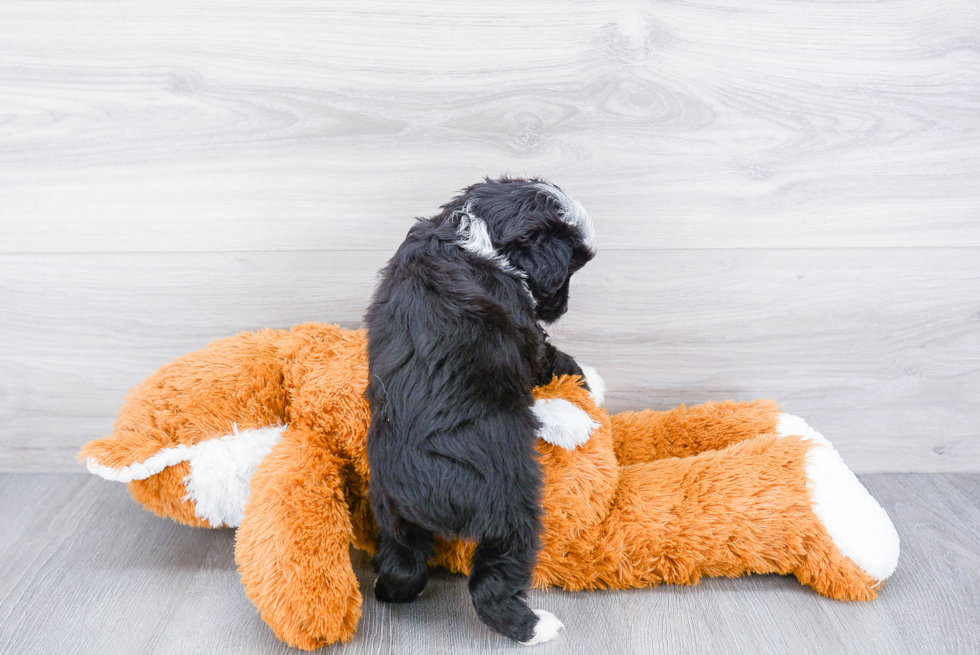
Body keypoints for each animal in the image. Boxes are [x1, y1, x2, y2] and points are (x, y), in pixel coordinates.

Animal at [366, 176, 592, 644]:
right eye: (569, 268)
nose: (559, 307)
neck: (474, 232)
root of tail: (423, 496)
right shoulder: (526, 332)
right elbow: (547, 356)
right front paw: (585, 379)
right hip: (509, 508)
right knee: (492, 582)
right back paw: (535, 627)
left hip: (390, 512)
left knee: (404, 565)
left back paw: (390, 586)